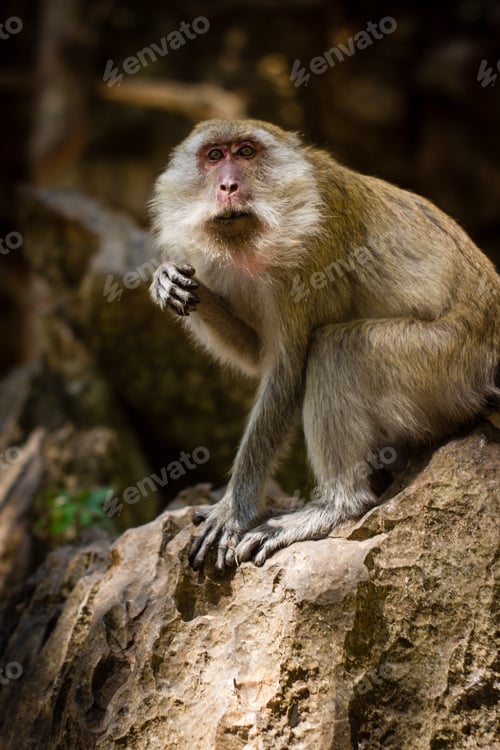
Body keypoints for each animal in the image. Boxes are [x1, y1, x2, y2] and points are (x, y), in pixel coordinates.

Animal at [149, 118, 500, 570]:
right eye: (214, 156)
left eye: (245, 152)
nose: (227, 186)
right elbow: (258, 355)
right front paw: (168, 278)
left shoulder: (312, 253)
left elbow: (288, 370)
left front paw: (234, 512)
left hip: (450, 360)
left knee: (337, 348)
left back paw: (337, 506)